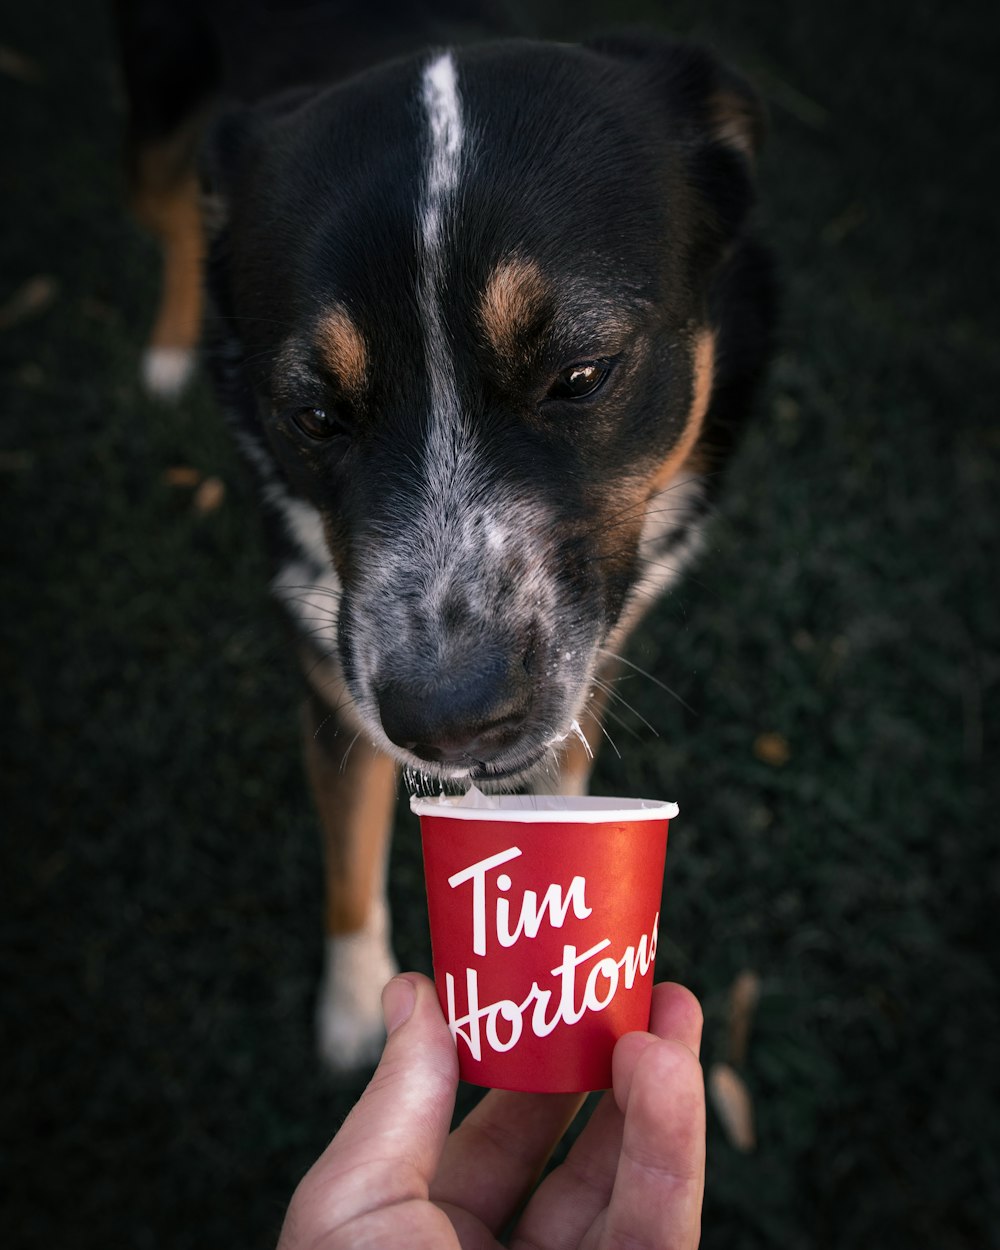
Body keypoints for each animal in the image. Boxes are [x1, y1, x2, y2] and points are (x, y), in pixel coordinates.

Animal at [115, 0, 775, 1075]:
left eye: (581, 374)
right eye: (314, 415)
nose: (451, 720)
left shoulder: (600, 636)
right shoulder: (330, 670)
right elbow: (350, 850)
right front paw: (356, 1012)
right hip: (162, 100)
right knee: (168, 211)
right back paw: (171, 347)